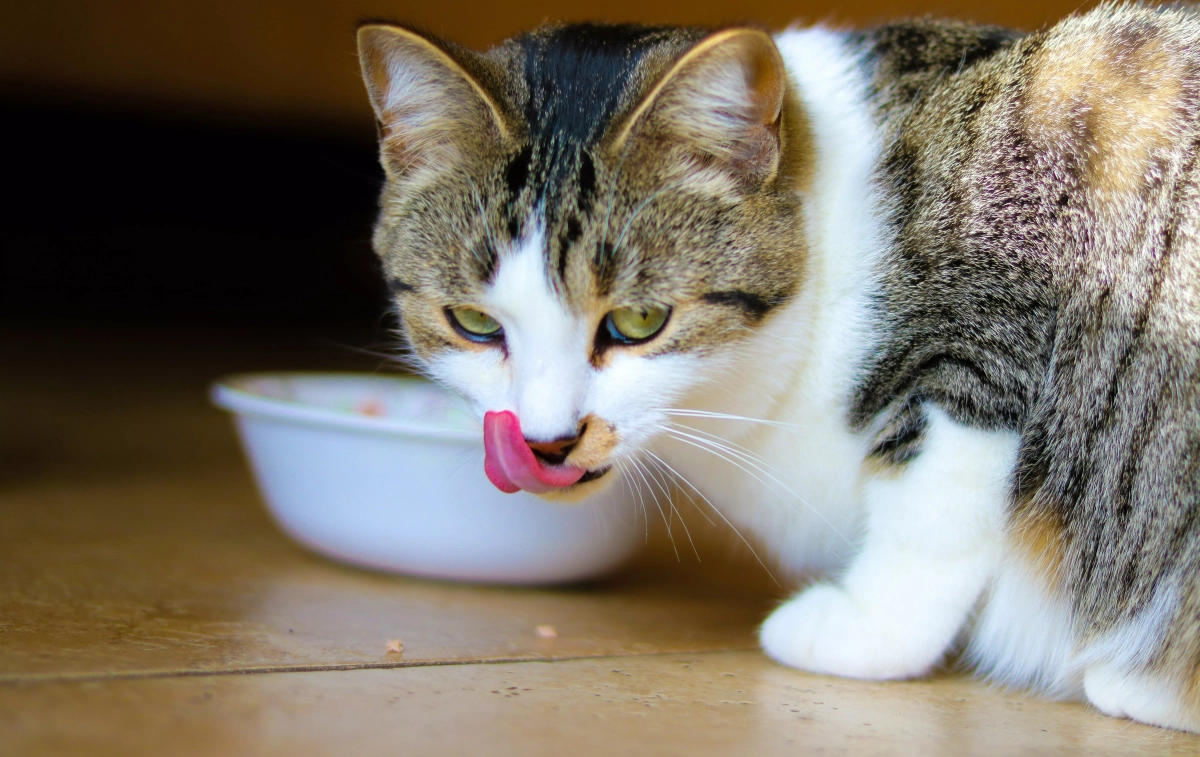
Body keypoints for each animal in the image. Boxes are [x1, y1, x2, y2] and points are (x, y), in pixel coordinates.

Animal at [357, 4, 1200, 734]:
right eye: (474, 323)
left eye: (639, 321)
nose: (548, 440)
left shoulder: (993, 324)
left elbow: (931, 507)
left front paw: (865, 628)